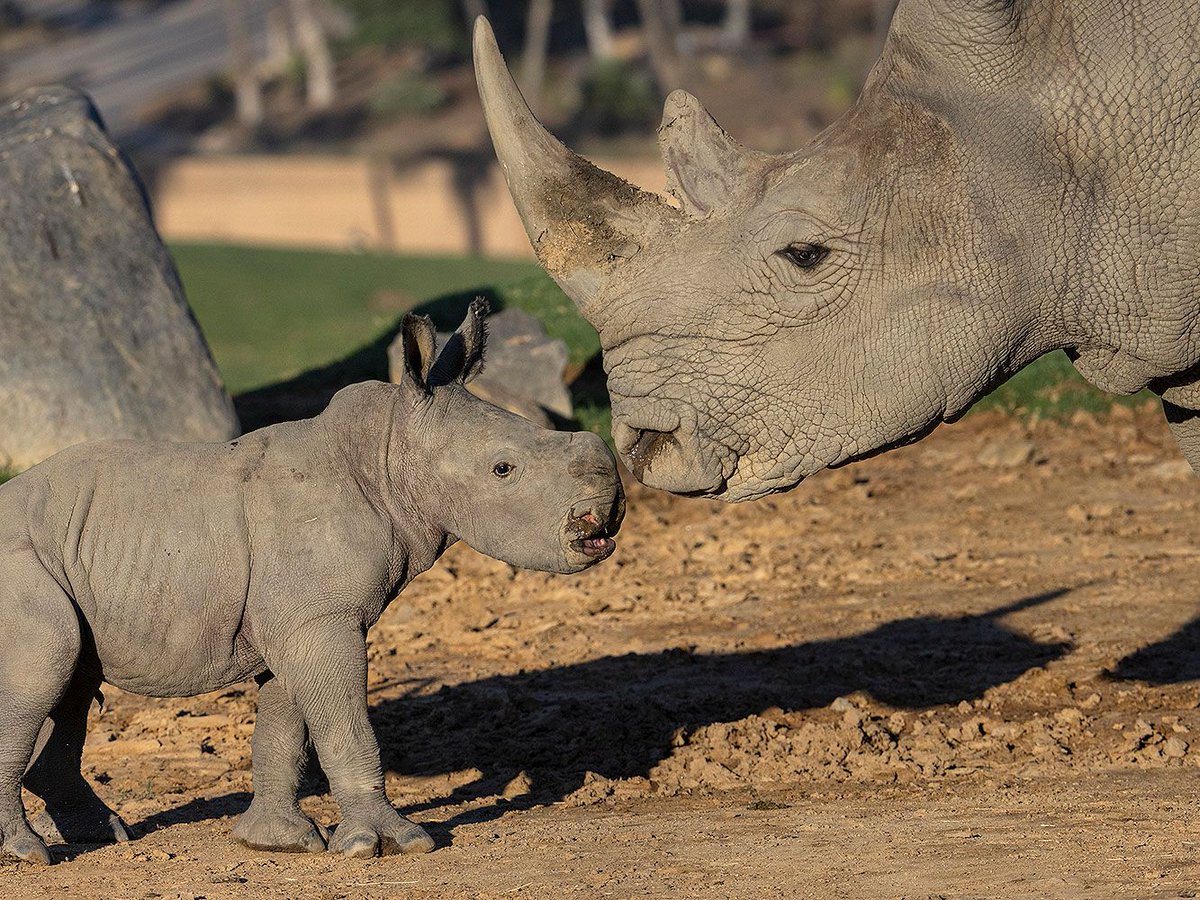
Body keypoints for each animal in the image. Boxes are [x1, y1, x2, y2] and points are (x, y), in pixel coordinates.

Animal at [0, 301, 623, 864]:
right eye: (503, 470)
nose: (607, 514)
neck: (388, 452)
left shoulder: (297, 617)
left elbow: (285, 726)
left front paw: (278, 841)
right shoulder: (319, 618)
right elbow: (344, 722)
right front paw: (389, 844)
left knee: (73, 681)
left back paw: (102, 835)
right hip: (19, 567)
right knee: (47, 667)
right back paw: (29, 855)